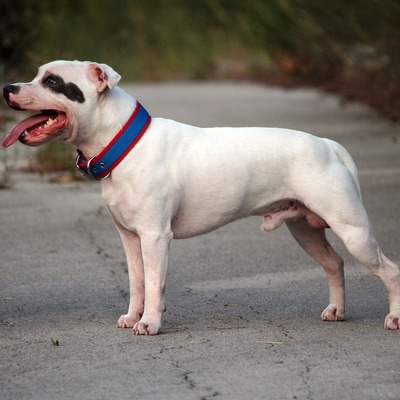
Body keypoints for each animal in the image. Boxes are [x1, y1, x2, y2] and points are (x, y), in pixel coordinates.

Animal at [3, 60, 400, 334]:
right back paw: (337, 312)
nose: (8, 87)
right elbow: (137, 282)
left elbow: (155, 284)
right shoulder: (130, 238)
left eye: (53, 81)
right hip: (305, 230)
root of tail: (327, 144)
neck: (124, 143)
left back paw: (393, 318)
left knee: (390, 271)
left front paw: (149, 323)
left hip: (353, 231)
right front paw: (133, 316)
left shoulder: (155, 237)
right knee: (334, 264)